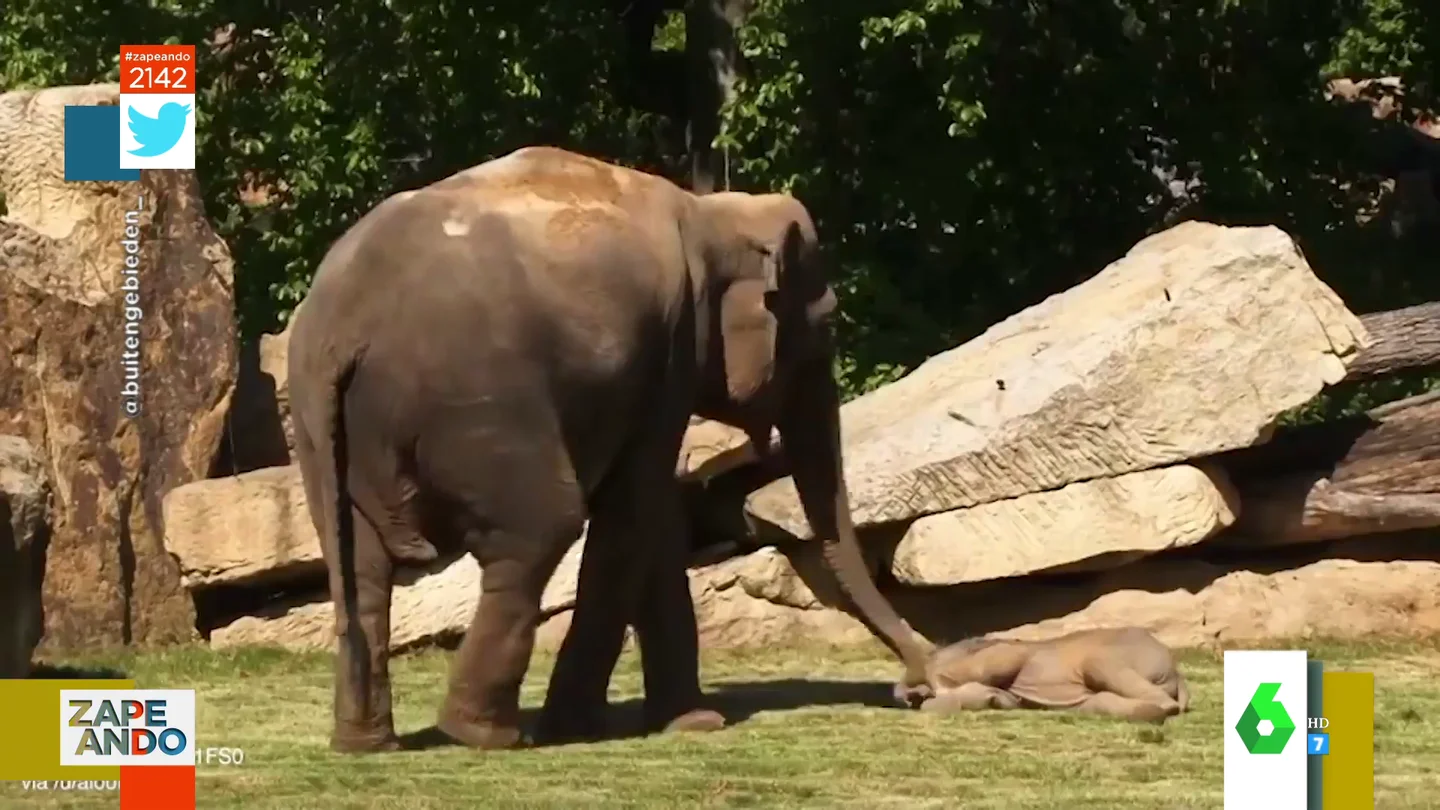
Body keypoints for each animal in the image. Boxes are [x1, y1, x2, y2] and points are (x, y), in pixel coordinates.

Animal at [286, 145, 933, 753]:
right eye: (828, 324)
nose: (918, 687)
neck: (714, 212)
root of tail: (342, 324)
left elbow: (656, 518)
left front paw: (692, 722)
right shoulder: (670, 348)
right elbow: (633, 511)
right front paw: (585, 727)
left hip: (320, 430)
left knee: (358, 563)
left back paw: (367, 744)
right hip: (477, 404)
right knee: (542, 526)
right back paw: (483, 733)